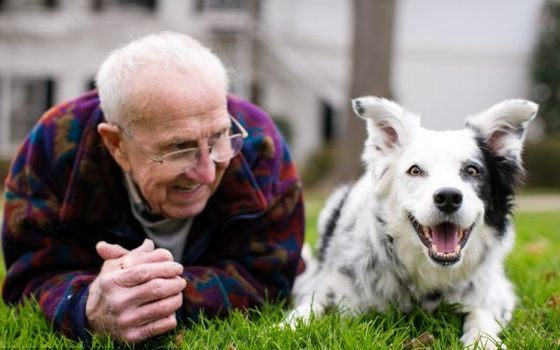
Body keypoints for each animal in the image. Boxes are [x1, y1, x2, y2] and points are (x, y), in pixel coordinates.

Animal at [286, 97, 536, 348]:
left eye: (472, 170)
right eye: (415, 170)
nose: (448, 197)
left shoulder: (496, 291)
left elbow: (481, 312)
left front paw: (483, 341)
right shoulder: (325, 284)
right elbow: (310, 306)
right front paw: (287, 326)